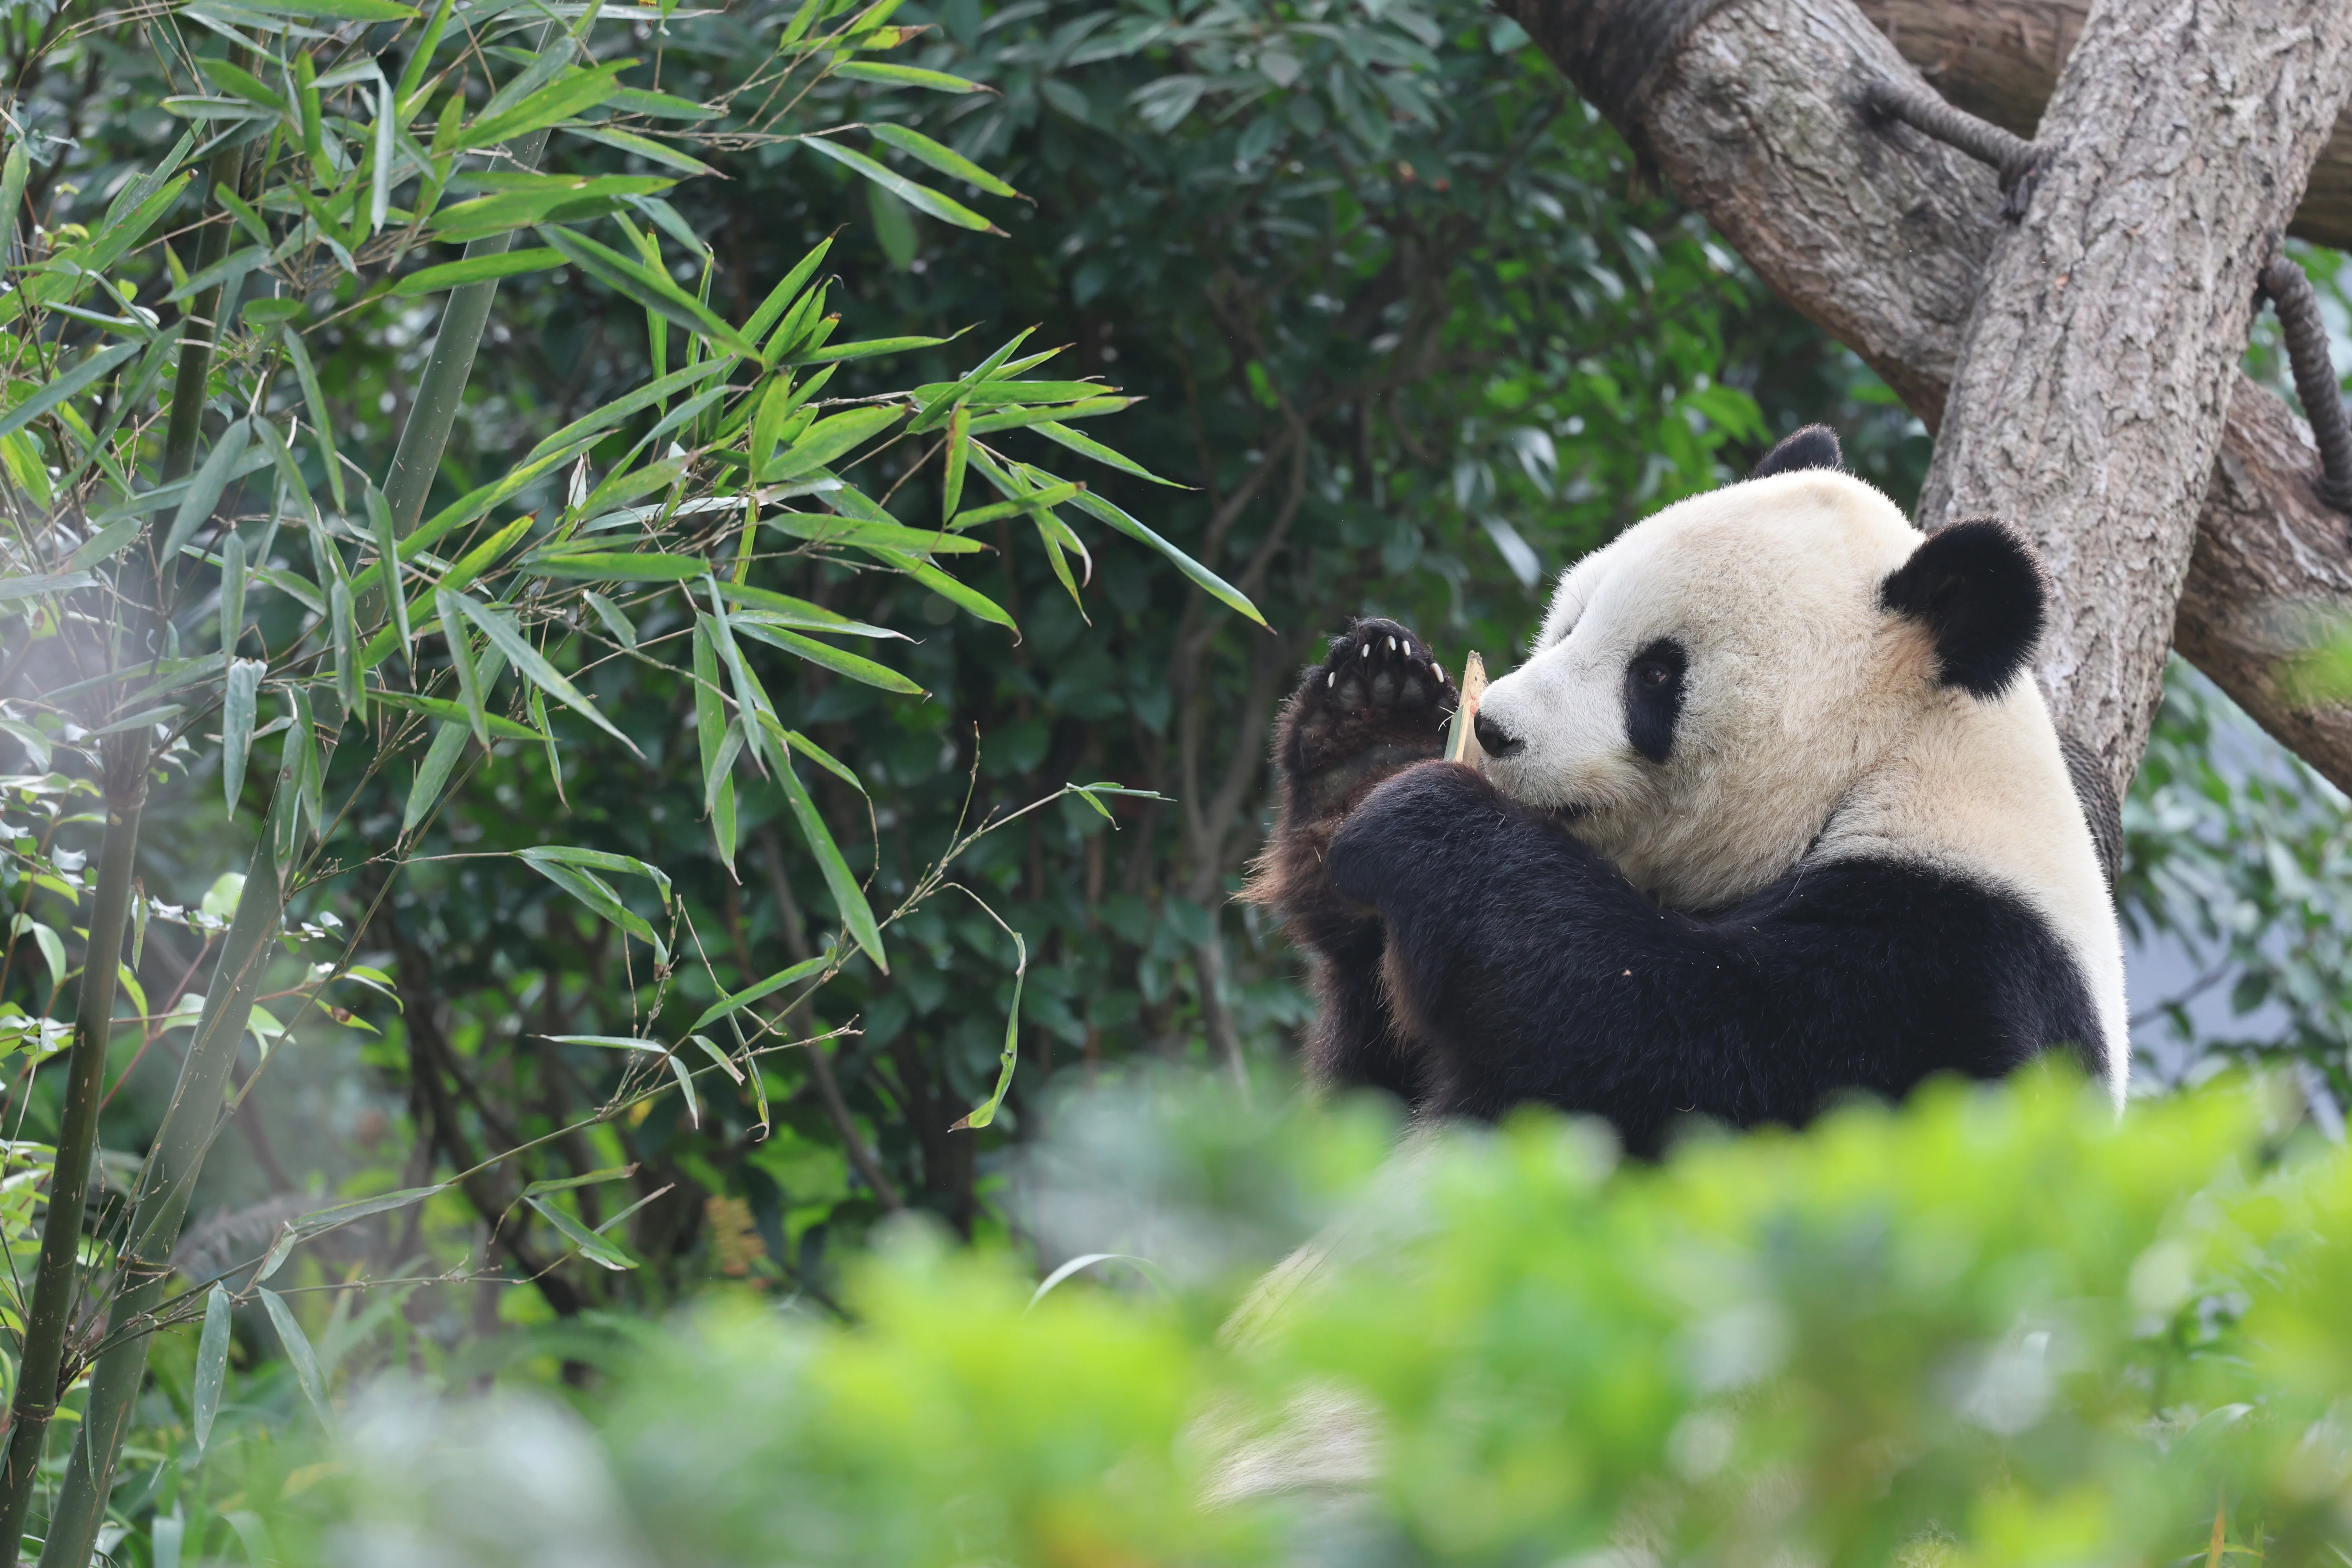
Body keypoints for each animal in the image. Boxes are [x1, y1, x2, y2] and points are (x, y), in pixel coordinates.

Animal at [1252, 426, 2128, 1155]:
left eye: (1657, 674)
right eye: (1571, 620)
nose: (1496, 730)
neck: (1887, 762)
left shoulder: (1950, 973)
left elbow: (1683, 1045)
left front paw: (1424, 823)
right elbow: (1371, 1091)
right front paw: (1371, 728)